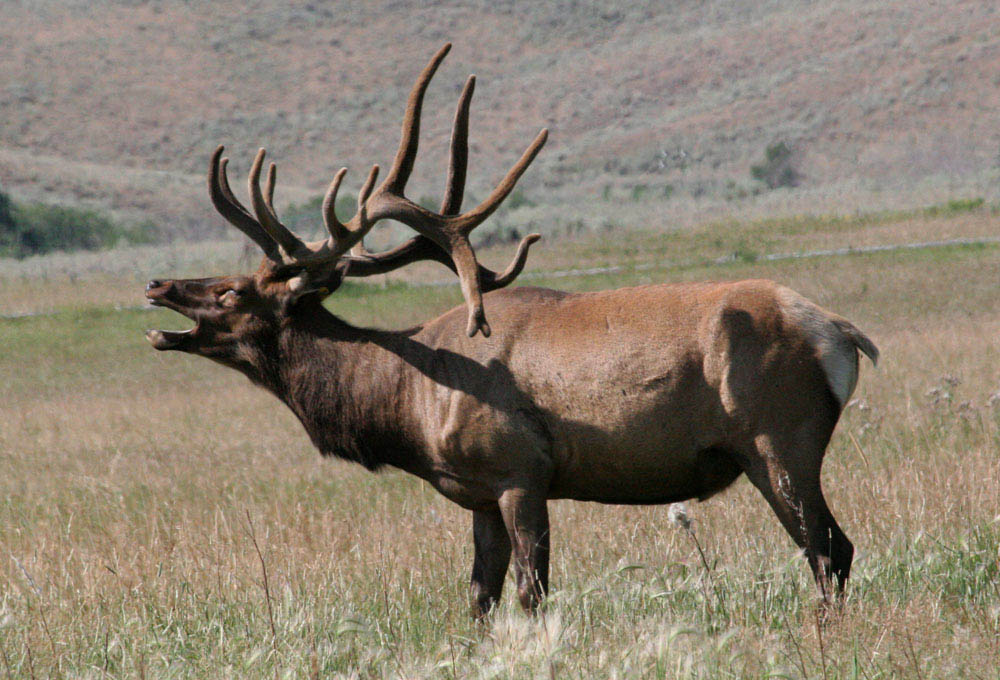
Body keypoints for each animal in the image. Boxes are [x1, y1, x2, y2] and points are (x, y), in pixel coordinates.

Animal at [145, 43, 880, 616]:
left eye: (233, 291)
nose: (158, 286)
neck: (407, 401)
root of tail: (842, 337)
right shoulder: (477, 493)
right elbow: (480, 596)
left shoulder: (520, 468)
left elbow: (533, 592)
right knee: (830, 549)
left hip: (778, 440)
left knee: (829, 549)